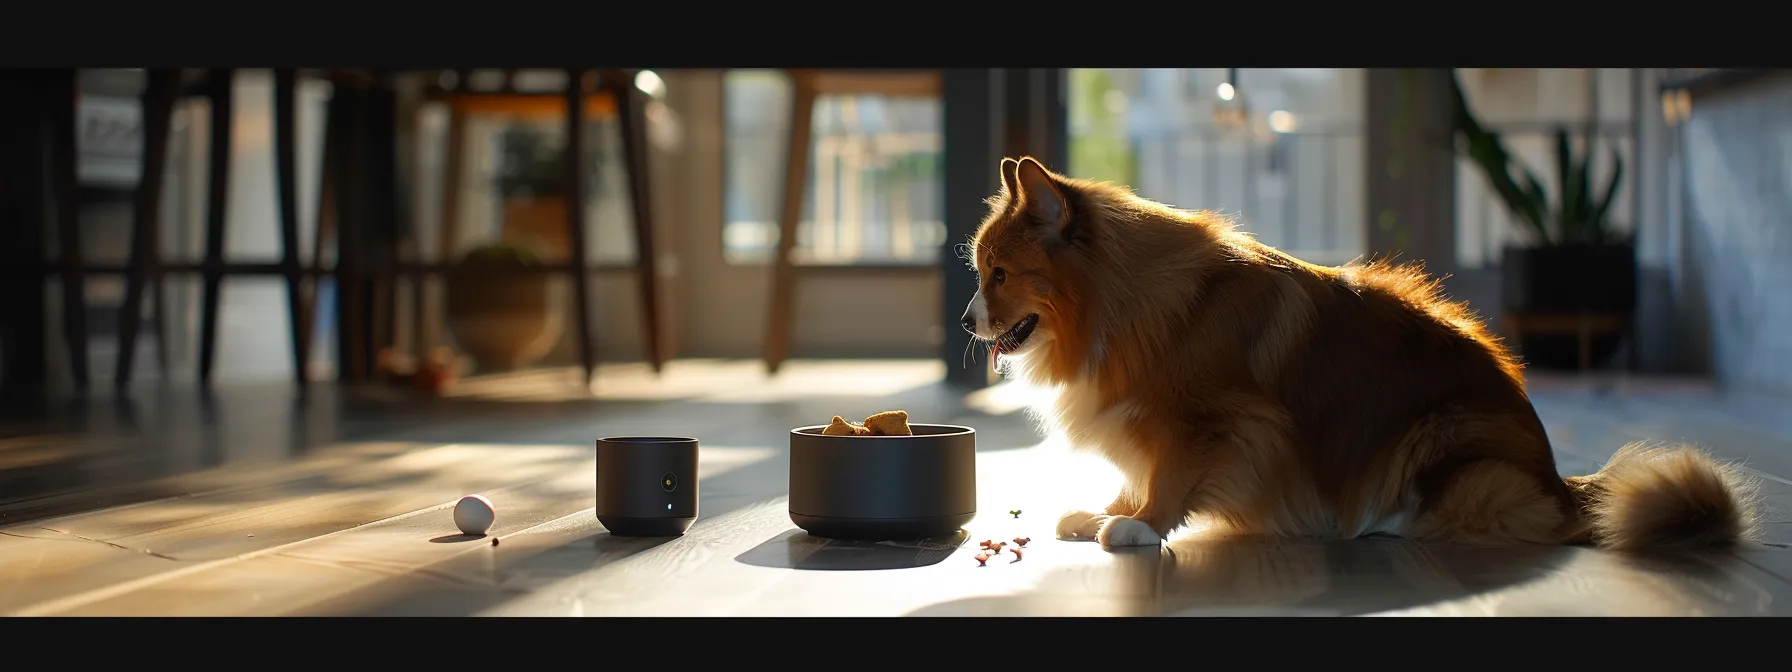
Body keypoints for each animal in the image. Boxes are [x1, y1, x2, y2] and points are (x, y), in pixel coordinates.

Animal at [960, 156, 1756, 551]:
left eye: (998, 274)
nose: (967, 321)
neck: (1123, 300)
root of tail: (1561, 483)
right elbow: (1140, 470)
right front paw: (1105, 511)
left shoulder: (1216, 423)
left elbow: (1173, 477)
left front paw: (1137, 526)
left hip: (1438, 437)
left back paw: (1385, 520)